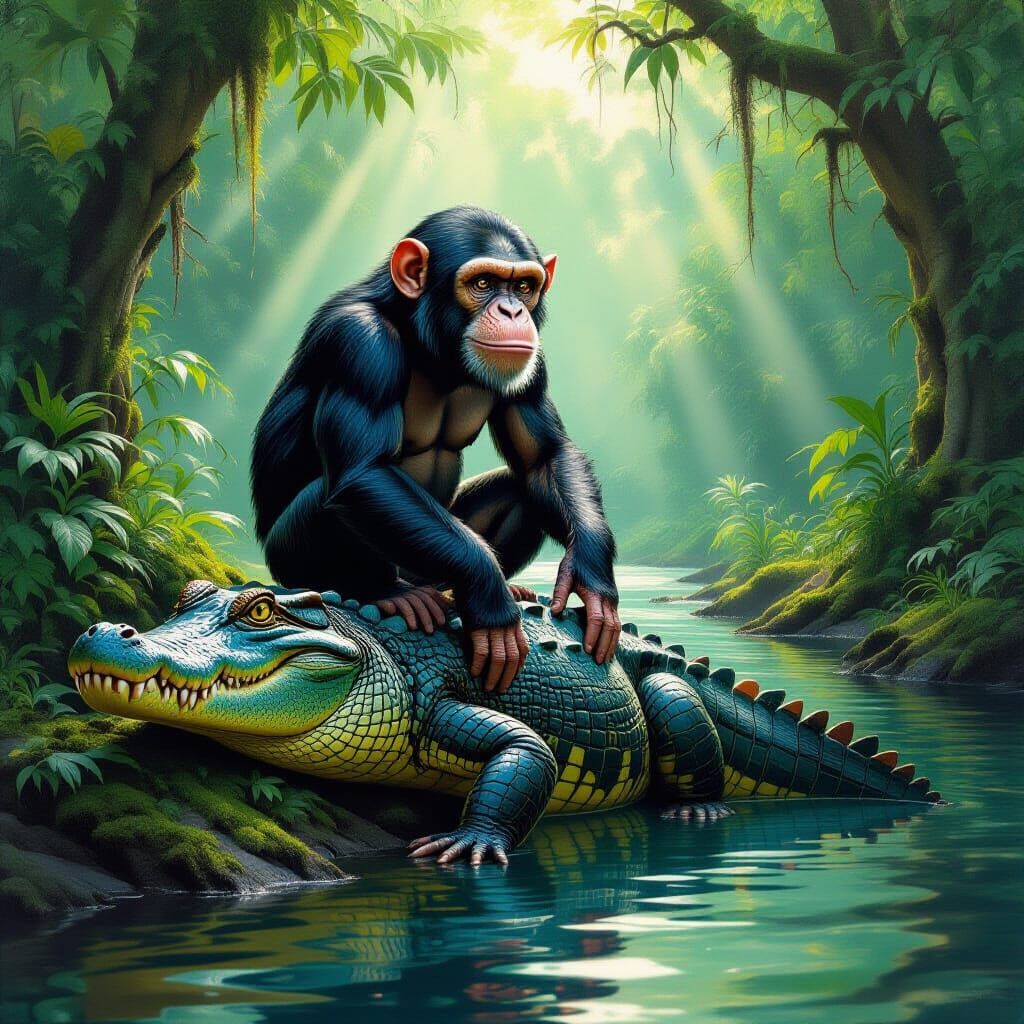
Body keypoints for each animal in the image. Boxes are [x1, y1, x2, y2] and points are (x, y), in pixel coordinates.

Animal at [251, 206, 620, 693]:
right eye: (482, 283)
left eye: (524, 286)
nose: (512, 309)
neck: (428, 340)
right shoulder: (360, 343)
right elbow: (365, 471)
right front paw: (491, 599)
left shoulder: (534, 363)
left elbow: (545, 456)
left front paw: (590, 577)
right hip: (290, 560)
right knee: (332, 497)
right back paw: (388, 594)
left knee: (520, 489)